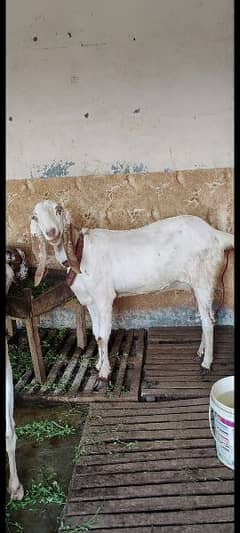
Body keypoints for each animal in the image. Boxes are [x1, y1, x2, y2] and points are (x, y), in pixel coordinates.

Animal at [30, 202, 234, 380]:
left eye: (58, 210)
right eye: (35, 216)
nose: (52, 233)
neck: (81, 253)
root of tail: (215, 234)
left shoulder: (104, 298)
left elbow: (103, 336)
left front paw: (105, 373)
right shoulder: (91, 301)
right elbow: (96, 335)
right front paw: (99, 364)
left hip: (204, 281)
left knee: (208, 322)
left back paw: (206, 363)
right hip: (196, 285)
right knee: (207, 317)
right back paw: (201, 351)